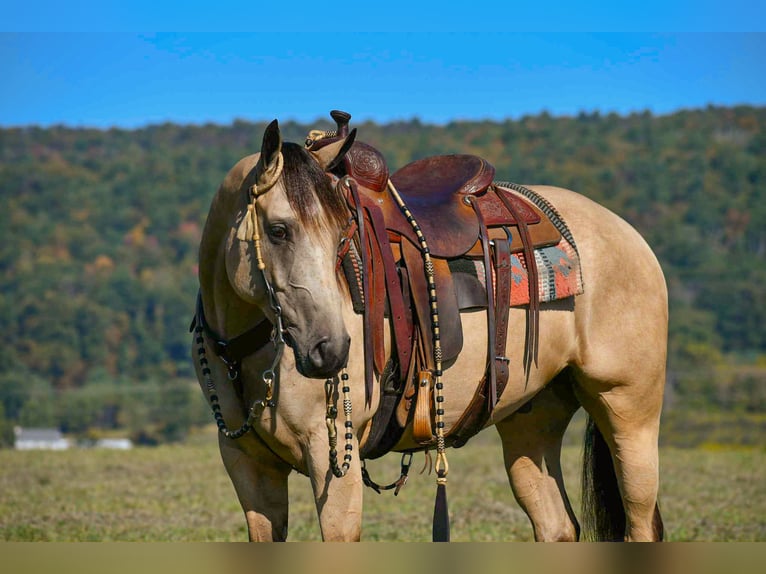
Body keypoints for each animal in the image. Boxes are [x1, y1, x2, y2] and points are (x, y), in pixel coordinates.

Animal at [192, 115, 667, 542]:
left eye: (343, 236)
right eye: (277, 230)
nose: (331, 349)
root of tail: (627, 234)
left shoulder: (332, 459)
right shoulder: (247, 464)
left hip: (629, 414)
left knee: (640, 522)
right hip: (532, 419)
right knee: (557, 527)